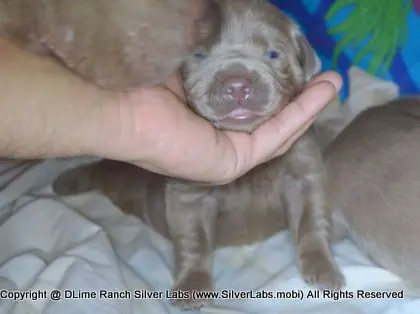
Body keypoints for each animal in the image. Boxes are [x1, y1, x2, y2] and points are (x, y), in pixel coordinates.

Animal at [52, 0, 344, 310]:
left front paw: (324, 269)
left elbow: (312, 221)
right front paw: (192, 286)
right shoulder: (188, 193)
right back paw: (67, 181)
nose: (237, 84)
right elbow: (194, 241)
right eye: (200, 54)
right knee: (102, 170)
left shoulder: (304, 170)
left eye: (273, 54)